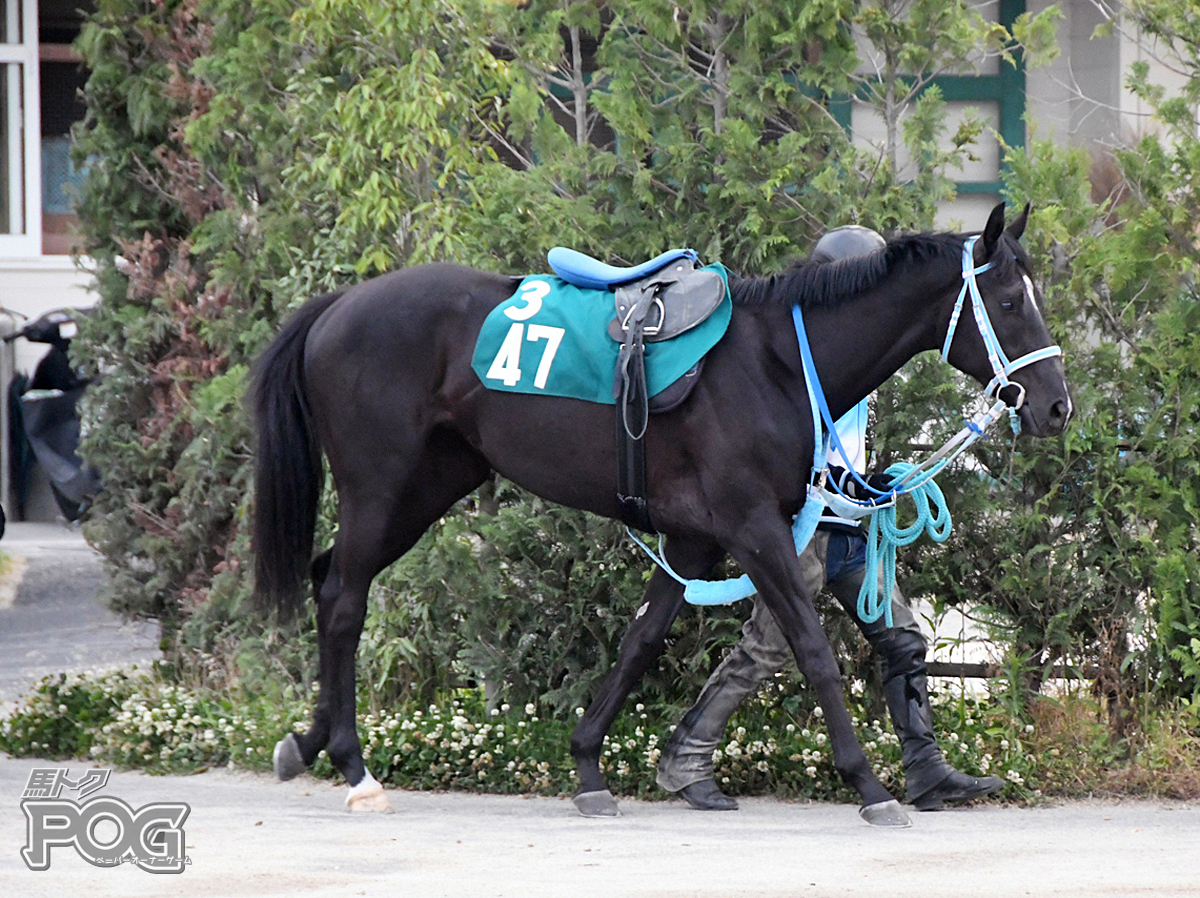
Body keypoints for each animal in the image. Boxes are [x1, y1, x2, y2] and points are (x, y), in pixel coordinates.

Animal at [250, 202, 1070, 821]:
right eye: (1008, 303)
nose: (1057, 406)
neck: (775, 360)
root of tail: (340, 306)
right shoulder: (753, 529)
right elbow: (811, 649)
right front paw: (869, 784)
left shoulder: (692, 540)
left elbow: (641, 642)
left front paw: (589, 767)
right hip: (380, 487)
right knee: (344, 599)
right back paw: (355, 768)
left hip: (425, 487)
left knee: (330, 582)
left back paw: (311, 741)